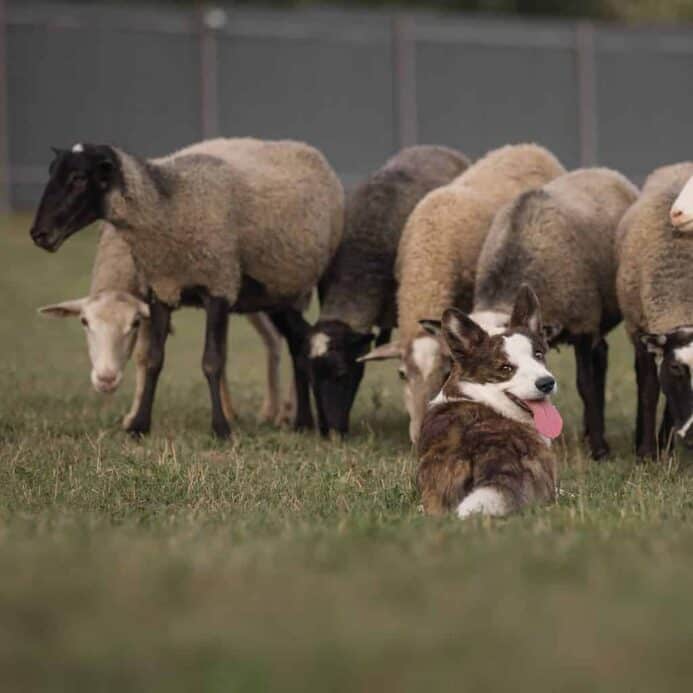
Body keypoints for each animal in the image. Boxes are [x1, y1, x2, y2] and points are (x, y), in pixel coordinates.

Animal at [38, 223, 290, 428]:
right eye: (84, 321)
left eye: (134, 323)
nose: (106, 379)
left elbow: (143, 356)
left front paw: (133, 418)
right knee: (271, 340)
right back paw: (266, 412)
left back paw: (280, 412)